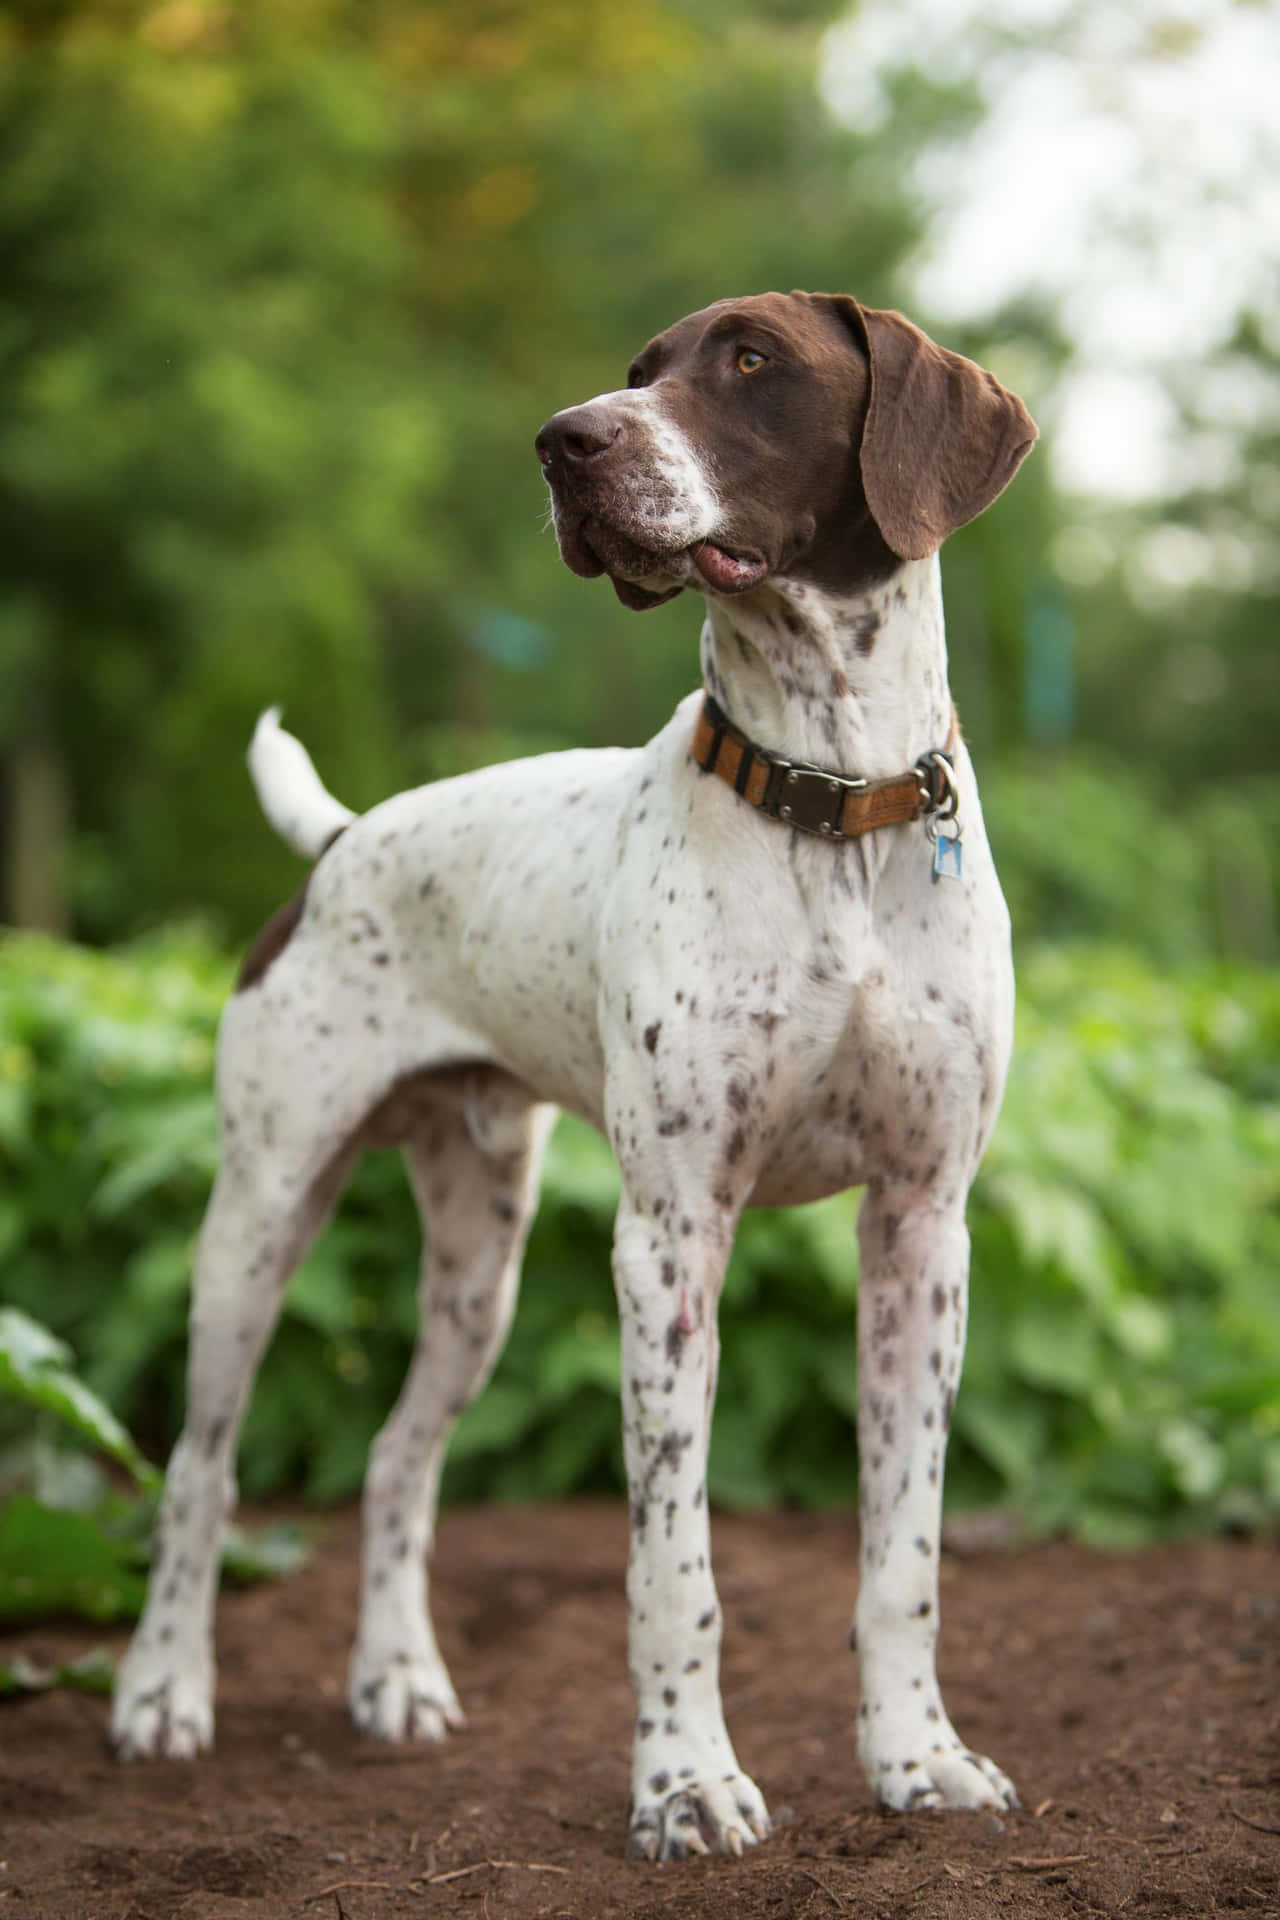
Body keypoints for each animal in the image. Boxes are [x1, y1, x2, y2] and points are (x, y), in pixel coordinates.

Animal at [112, 288, 1043, 1858]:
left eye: (750, 360)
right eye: (633, 372)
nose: (562, 444)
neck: (831, 803)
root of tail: (341, 843)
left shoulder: (923, 1230)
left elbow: (901, 1557)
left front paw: (918, 1760)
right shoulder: (668, 1246)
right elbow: (675, 1566)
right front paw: (685, 1785)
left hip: (478, 1263)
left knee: (394, 1460)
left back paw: (397, 1681)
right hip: (258, 1218)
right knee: (199, 1471)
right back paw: (163, 1696)